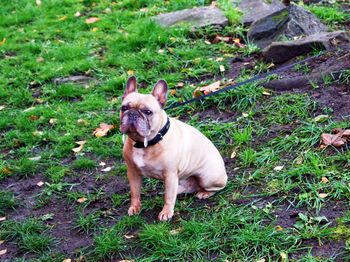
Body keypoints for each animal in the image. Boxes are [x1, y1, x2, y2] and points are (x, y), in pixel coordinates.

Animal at [120, 76, 228, 221]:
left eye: (148, 112)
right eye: (124, 108)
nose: (132, 114)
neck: (144, 143)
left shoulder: (170, 175)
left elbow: (168, 197)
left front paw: (166, 212)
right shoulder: (132, 173)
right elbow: (135, 192)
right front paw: (135, 207)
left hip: (208, 178)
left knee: (217, 188)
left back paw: (204, 193)